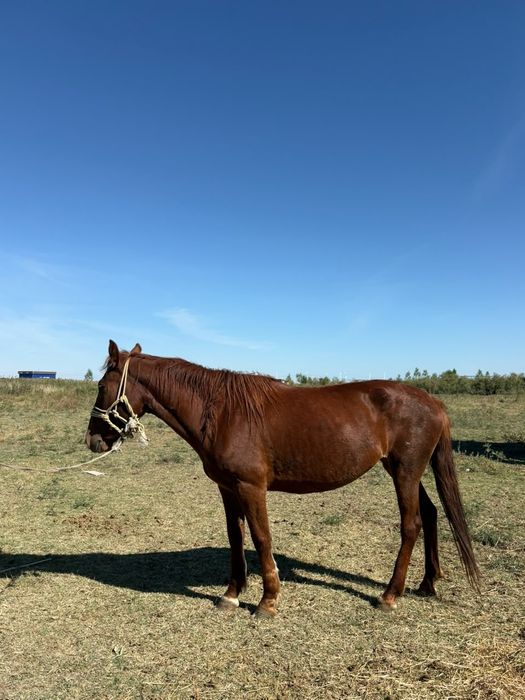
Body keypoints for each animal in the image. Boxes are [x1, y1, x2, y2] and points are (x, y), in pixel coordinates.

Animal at [85, 340, 480, 617]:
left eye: (102, 385)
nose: (92, 440)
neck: (222, 412)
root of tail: (433, 402)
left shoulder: (251, 487)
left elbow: (262, 538)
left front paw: (268, 601)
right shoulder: (227, 488)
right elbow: (236, 537)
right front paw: (232, 594)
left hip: (405, 472)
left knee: (411, 524)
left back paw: (390, 595)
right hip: (406, 471)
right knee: (431, 514)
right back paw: (427, 583)